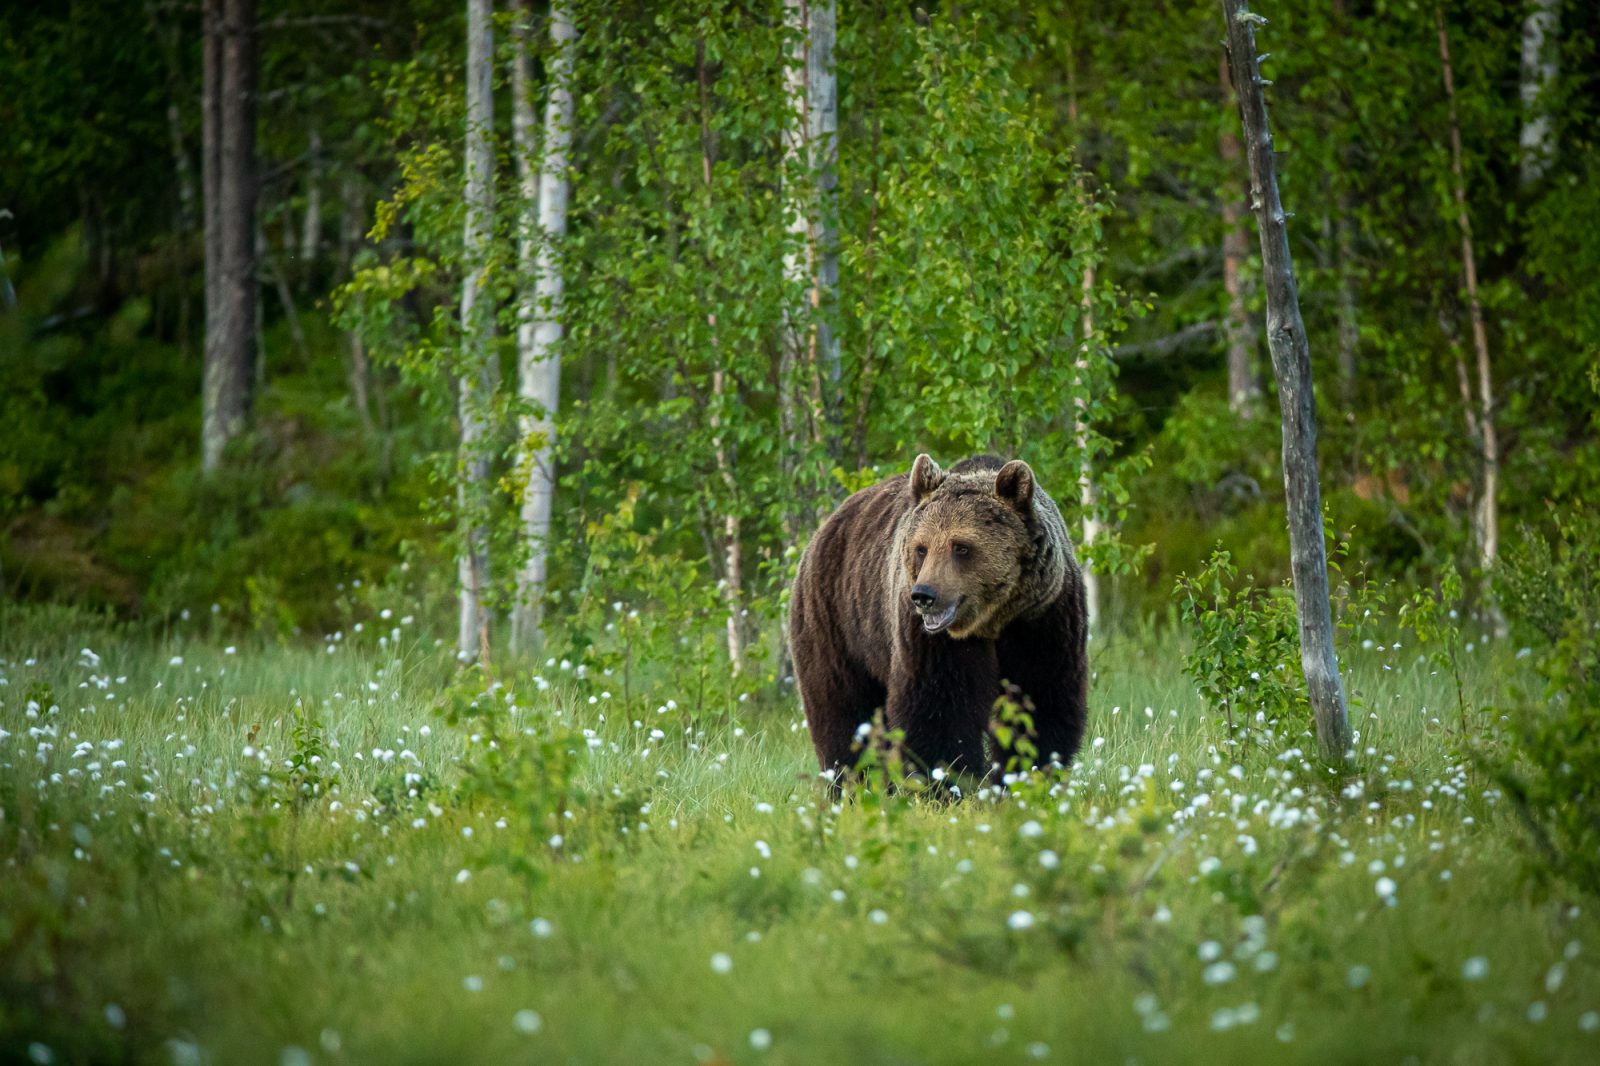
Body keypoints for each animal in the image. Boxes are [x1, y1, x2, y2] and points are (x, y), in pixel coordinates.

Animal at [787, 451, 1088, 781]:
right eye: (922, 548)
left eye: (961, 547)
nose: (924, 595)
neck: (992, 620)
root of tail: (824, 528)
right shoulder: (930, 639)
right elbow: (940, 707)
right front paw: (950, 778)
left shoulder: (1042, 617)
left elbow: (1041, 698)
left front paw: (1026, 772)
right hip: (837, 621)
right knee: (841, 708)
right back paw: (851, 779)